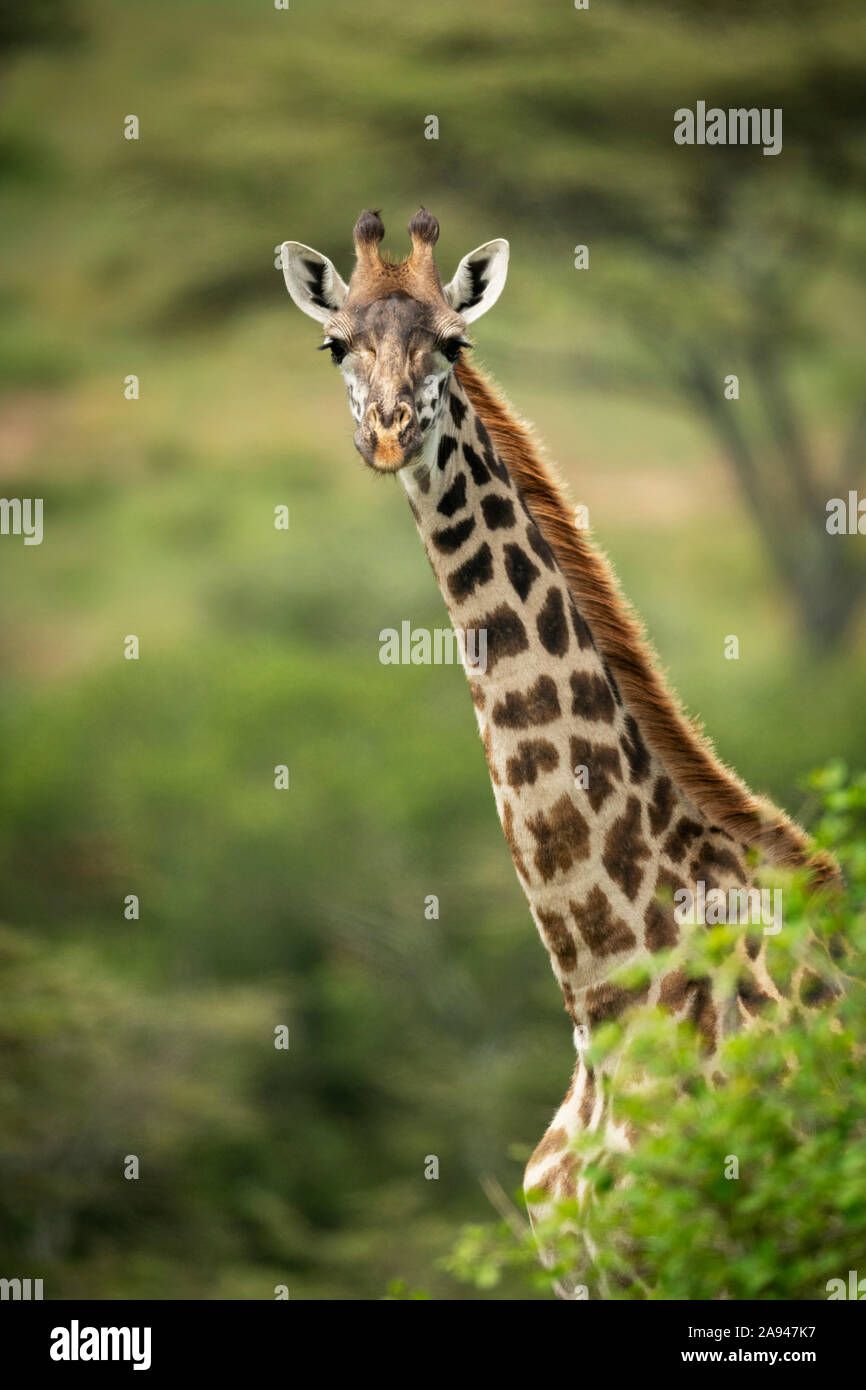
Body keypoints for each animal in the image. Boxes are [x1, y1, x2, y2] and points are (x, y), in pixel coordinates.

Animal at [279, 211, 845, 1295]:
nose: (388, 432)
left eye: (454, 343)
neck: (605, 982)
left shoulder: (722, 1248)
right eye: (334, 345)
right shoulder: (583, 1267)